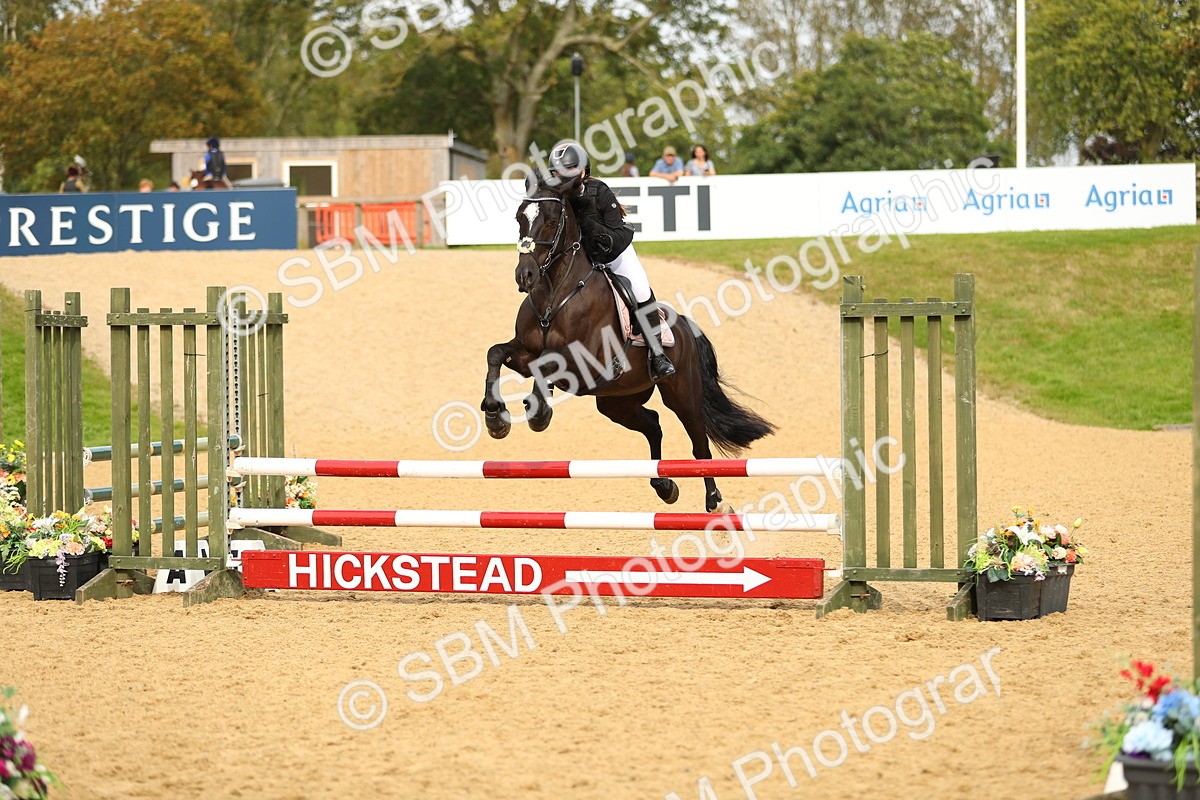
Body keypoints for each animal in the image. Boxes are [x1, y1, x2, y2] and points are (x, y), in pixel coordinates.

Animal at [480, 172, 776, 512]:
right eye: (519, 218)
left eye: (553, 221)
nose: (524, 276)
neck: (555, 293)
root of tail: (684, 324)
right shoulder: (526, 353)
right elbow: (496, 354)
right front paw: (495, 417)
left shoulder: (584, 363)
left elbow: (547, 365)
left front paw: (538, 412)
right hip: (617, 401)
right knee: (653, 424)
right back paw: (664, 486)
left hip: (682, 394)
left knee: (699, 443)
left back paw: (715, 502)